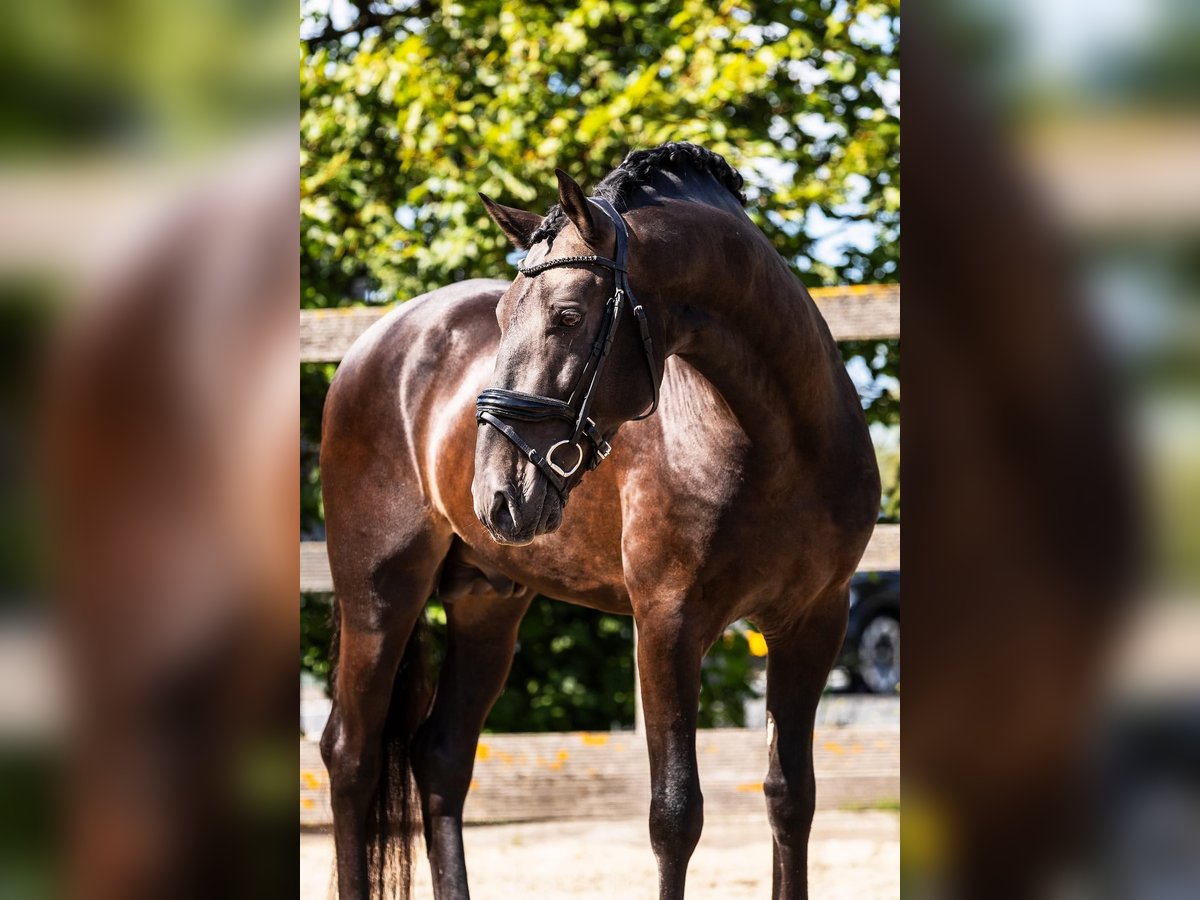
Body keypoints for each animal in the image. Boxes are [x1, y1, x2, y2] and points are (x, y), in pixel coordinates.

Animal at [319, 144, 883, 897]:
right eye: (503, 314)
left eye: (565, 315)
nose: (495, 494)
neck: (779, 443)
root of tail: (375, 341)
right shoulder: (669, 623)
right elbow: (674, 815)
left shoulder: (813, 623)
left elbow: (791, 799)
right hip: (378, 593)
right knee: (351, 756)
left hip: (487, 602)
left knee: (439, 756)